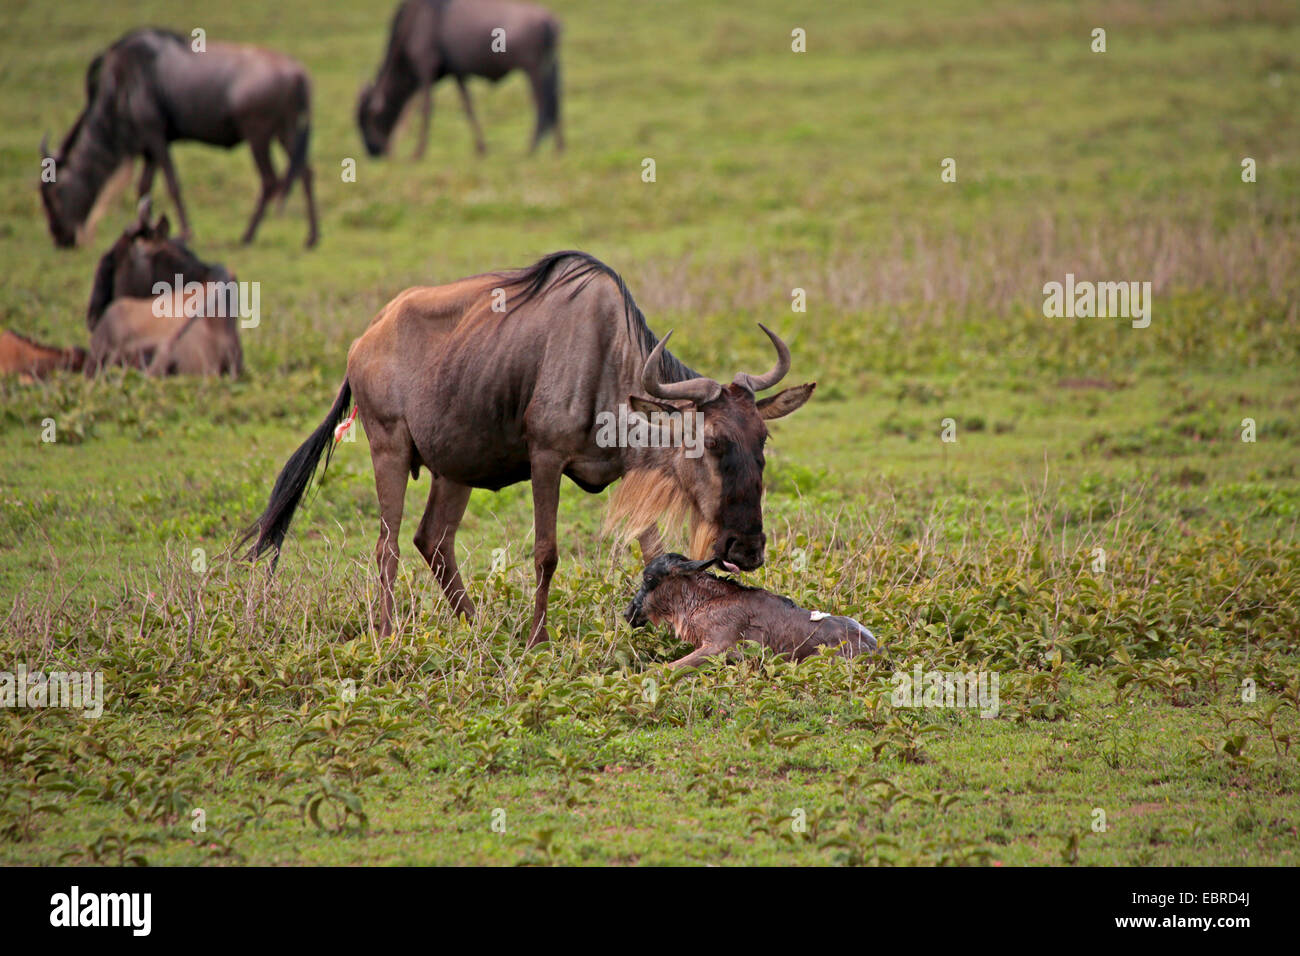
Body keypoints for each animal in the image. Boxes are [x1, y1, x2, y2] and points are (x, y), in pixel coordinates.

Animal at [624, 554, 878, 671]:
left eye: (649, 578)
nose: (629, 613)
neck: (707, 600)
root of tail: (877, 649)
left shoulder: (719, 647)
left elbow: (664, 669)